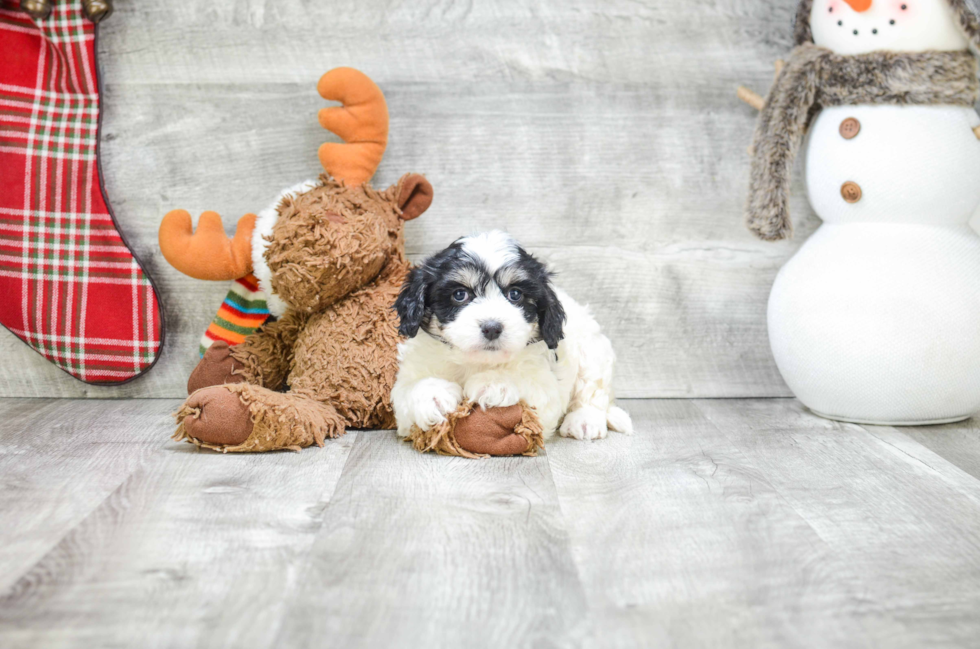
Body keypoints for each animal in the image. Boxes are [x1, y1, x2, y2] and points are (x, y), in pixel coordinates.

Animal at [392, 230, 636, 438]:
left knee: (593, 391)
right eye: (460, 294)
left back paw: (584, 421)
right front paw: (434, 395)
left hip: (593, 350)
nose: (492, 327)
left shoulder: (546, 388)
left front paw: (494, 383)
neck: (477, 362)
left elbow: (529, 385)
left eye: (515, 294)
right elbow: (407, 391)